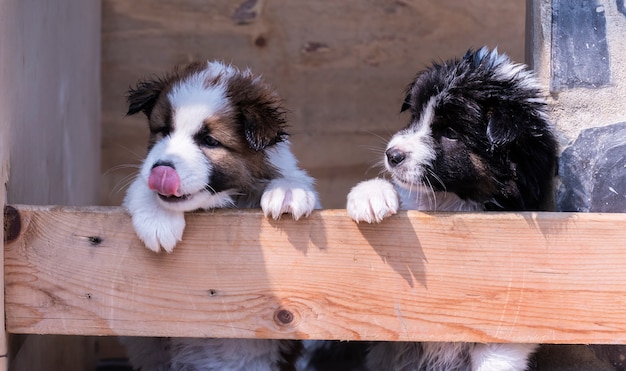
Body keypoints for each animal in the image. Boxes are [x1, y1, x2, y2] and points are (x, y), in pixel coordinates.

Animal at [122, 60, 320, 370]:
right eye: (163, 131)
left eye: (209, 140)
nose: (162, 169)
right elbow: (141, 186)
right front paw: (157, 218)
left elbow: (289, 178)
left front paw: (288, 191)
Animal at [346, 47, 556, 371]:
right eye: (416, 117)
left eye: (451, 133)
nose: (392, 155)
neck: (451, 201)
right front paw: (370, 195)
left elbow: (497, 354)